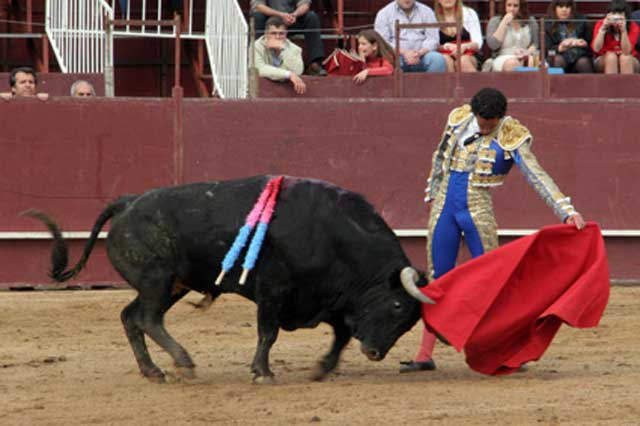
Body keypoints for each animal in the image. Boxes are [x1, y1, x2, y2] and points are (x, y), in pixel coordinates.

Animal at [26, 175, 436, 382]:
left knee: (131, 317)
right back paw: (184, 363)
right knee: (145, 318)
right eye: (397, 305)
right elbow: (268, 333)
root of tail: (127, 202)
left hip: (171, 284)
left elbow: (341, 335)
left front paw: (322, 368)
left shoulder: (330, 298)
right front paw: (263, 372)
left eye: (411, 320)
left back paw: (153, 370)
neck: (333, 233)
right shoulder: (274, 289)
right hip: (159, 280)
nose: (375, 353)